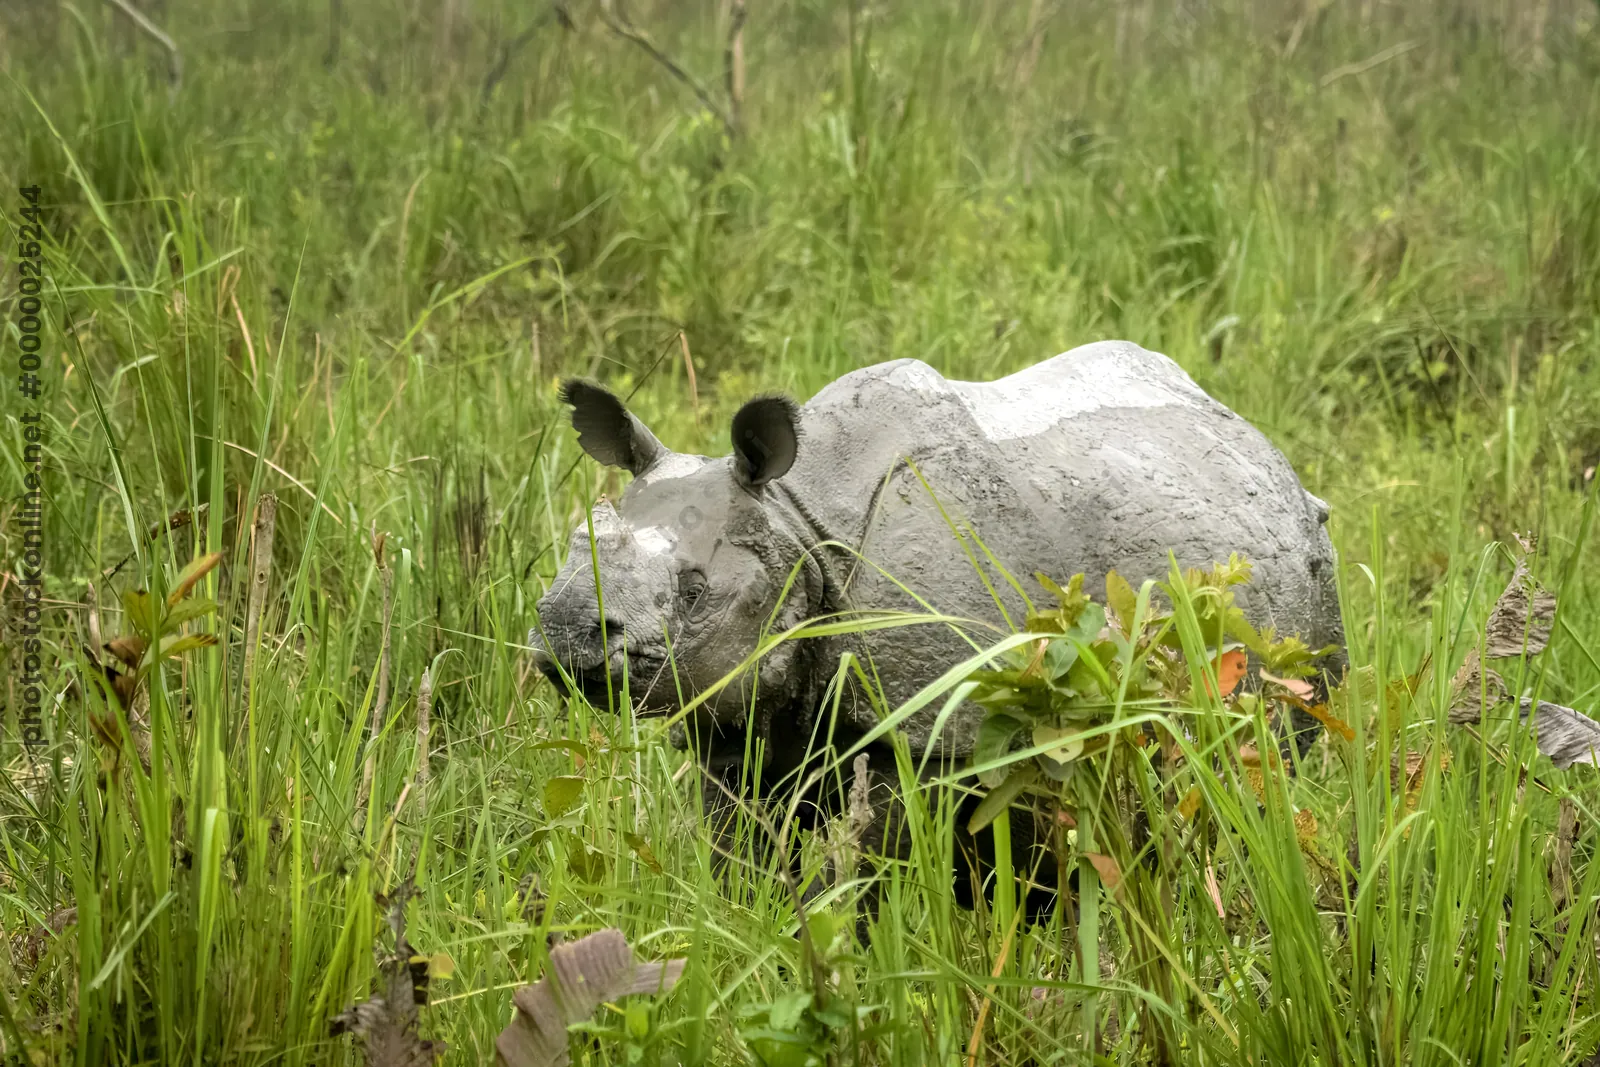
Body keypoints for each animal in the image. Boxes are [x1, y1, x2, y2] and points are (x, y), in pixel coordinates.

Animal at [531, 340, 1344, 911]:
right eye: (575, 542)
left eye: (695, 591)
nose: (566, 629)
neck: (795, 520)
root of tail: (1261, 442)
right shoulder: (734, 716)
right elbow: (742, 850)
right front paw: (759, 927)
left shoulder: (925, 726)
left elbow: (870, 866)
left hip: (1305, 582)